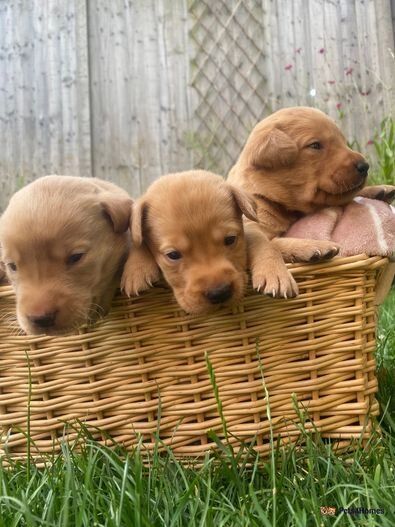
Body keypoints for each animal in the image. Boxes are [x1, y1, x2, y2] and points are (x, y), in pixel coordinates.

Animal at [122, 171, 298, 316]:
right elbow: (137, 241)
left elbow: (262, 241)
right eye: (173, 255)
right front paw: (136, 269)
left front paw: (274, 272)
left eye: (230, 239)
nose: (219, 293)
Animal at [227, 106, 394, 262]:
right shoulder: (250, 232)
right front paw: (313, 245)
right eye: (315, 145)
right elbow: (273, 243)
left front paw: (379, 189)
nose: (365, 166)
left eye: (342, 141)